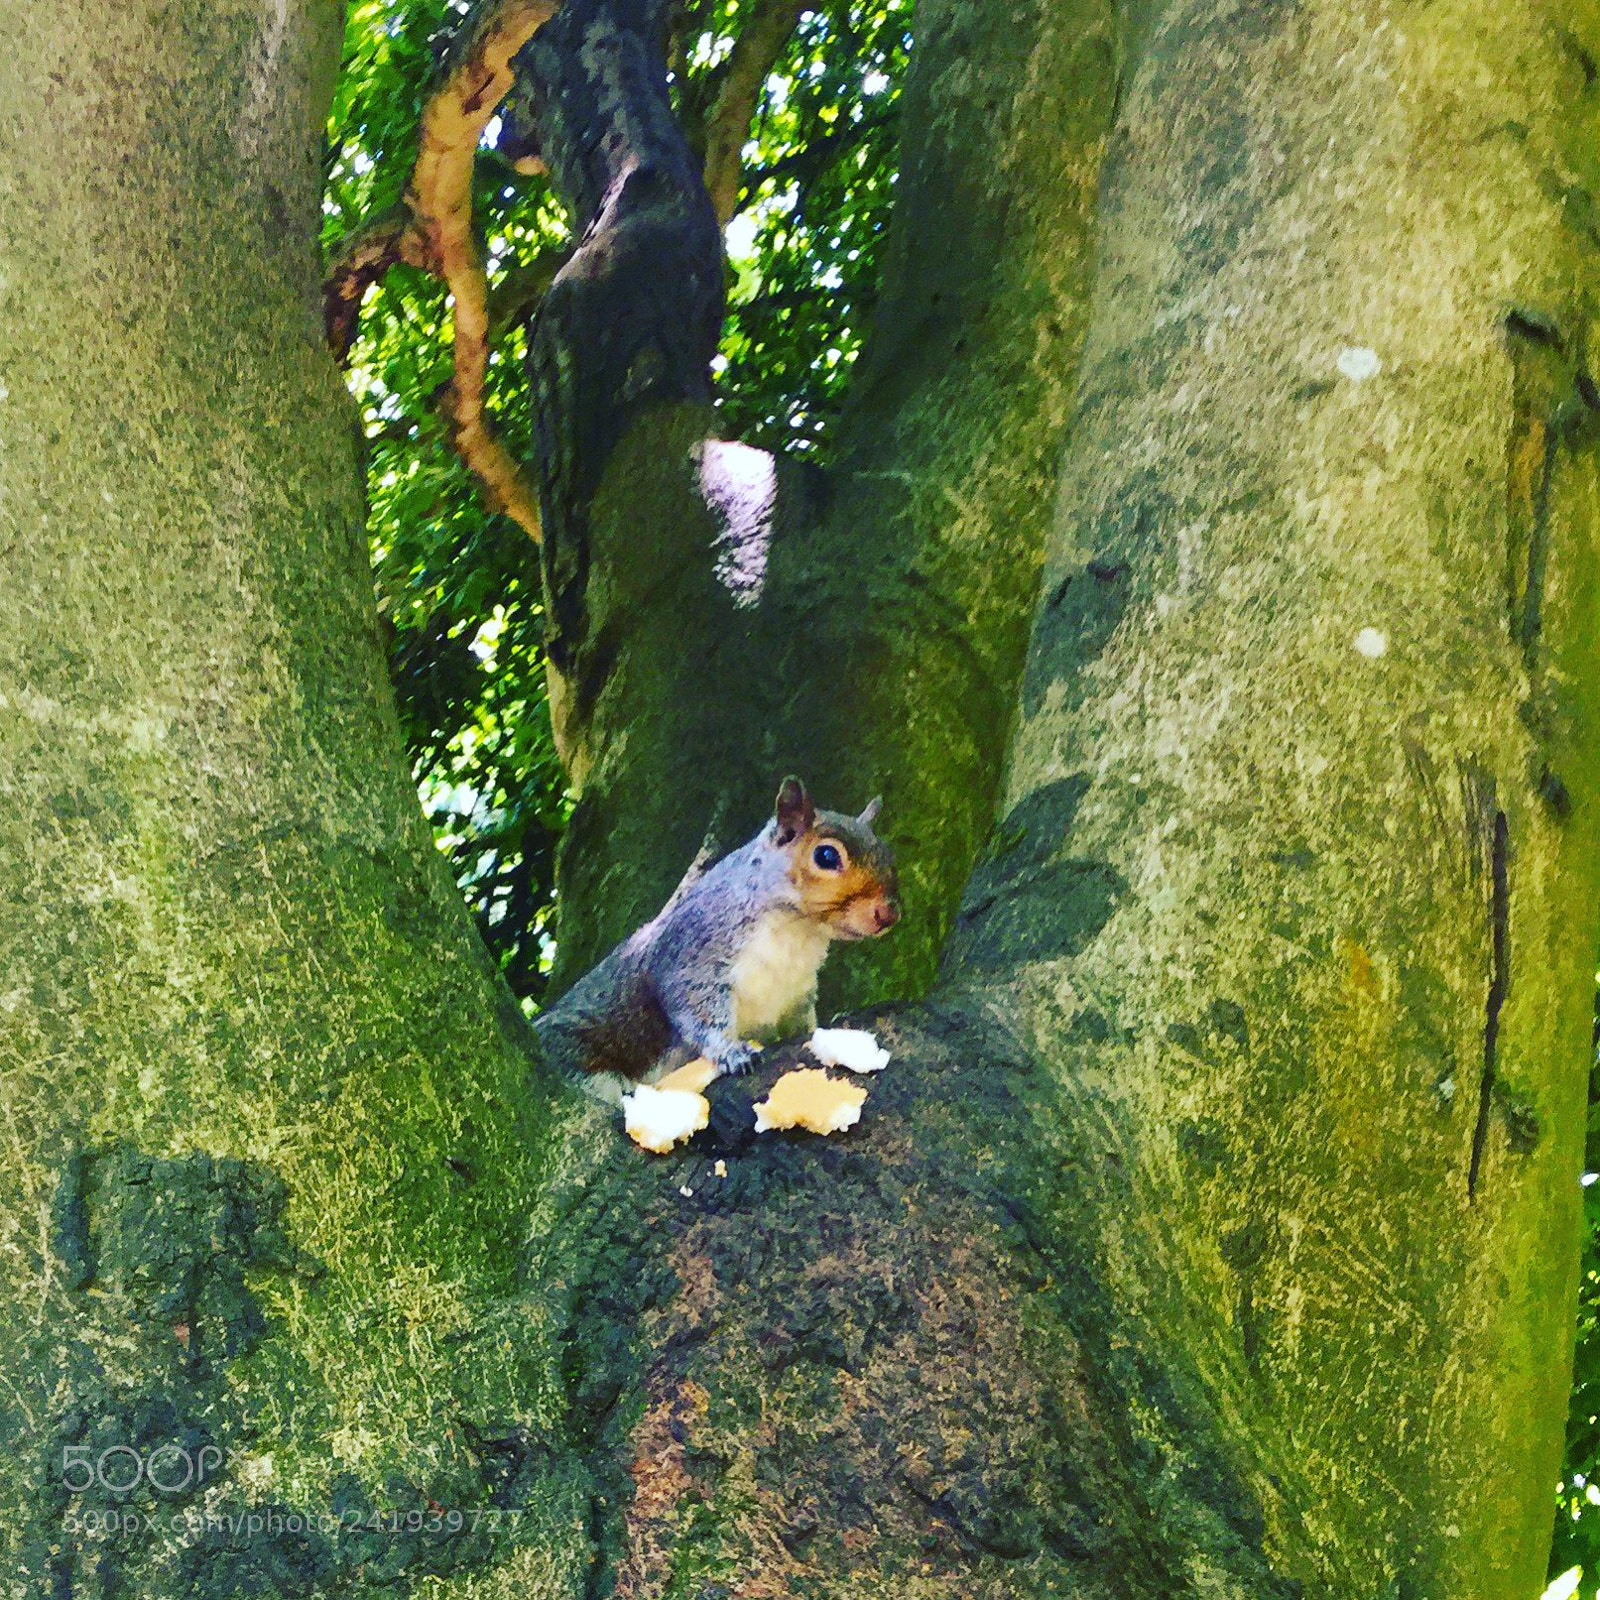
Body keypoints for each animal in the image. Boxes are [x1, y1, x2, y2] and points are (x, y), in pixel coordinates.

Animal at [535, 777, 900, 1102]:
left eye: (888, 853)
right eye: (826, 856)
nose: (888, 914)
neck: (798, 932)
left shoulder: (798, 993)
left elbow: (801, 1025)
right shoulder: (693, 956)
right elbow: (696, 1010)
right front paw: (732, 1052)